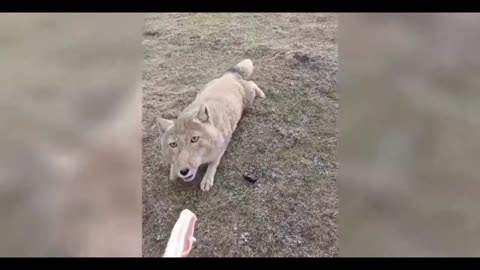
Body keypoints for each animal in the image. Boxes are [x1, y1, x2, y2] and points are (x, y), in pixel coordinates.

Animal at [156, 58, 264, 192]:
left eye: (194, 139)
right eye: (173, 144)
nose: (184, 171)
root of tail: (228, 77)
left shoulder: (222, 146)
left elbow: (213, 163)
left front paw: (207, 178)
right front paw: (173, 170)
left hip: (249, 98)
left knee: (252, 83)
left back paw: (261, 93)